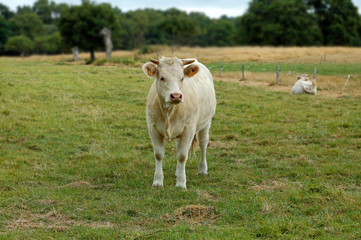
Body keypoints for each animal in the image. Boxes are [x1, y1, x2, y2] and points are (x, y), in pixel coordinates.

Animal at [143, 56, 217, 188]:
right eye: (162, 78)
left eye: (182, 78)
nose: (176, 96)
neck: (168, 112)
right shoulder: (153, 127)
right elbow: (159, 154)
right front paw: (158, 181)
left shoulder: (189, 129)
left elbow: (182, 156)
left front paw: (181, 183)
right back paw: (178, 172)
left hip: (206, 123)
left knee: (203, 144)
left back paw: (202, 169)